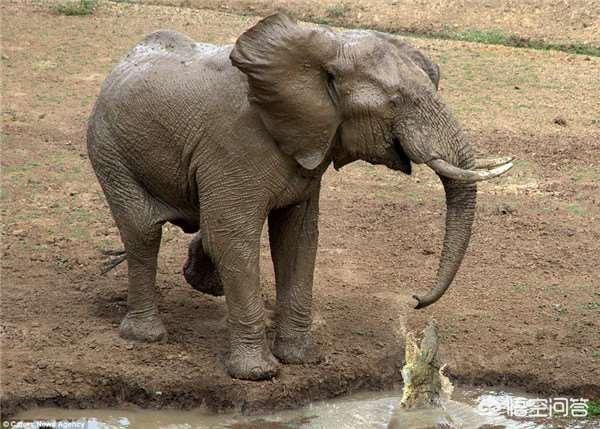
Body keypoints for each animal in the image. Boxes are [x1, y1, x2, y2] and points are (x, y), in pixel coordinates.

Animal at [86, 14, 512, 378]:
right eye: (396, 102)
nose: (416, 299)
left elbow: (298, 238)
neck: (325, 50)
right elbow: (234, 237)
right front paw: (258, 374)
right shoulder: (233, 144)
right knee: (143, 233)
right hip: (109, 150)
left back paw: (202, 281)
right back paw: (146, 336)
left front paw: (302, 359)